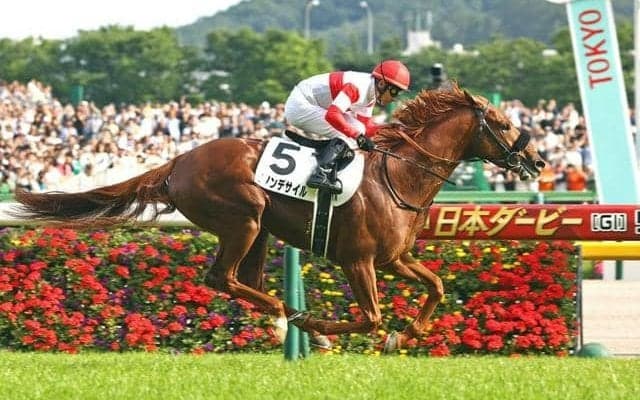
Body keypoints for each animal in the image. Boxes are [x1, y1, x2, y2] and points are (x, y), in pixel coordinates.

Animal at [12, 82, 545, 352]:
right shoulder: (358, 260)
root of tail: (178, 162)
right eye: (502, 124)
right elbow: (370, 316)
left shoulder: (394, 258)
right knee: (222, 278)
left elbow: (435, 285)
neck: (398, 174)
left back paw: (287, 318)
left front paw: (406, 333)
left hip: (261, 230)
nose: (537, 161)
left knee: (242, 281)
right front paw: (330, 330)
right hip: (242, 220)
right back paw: (286, 320)